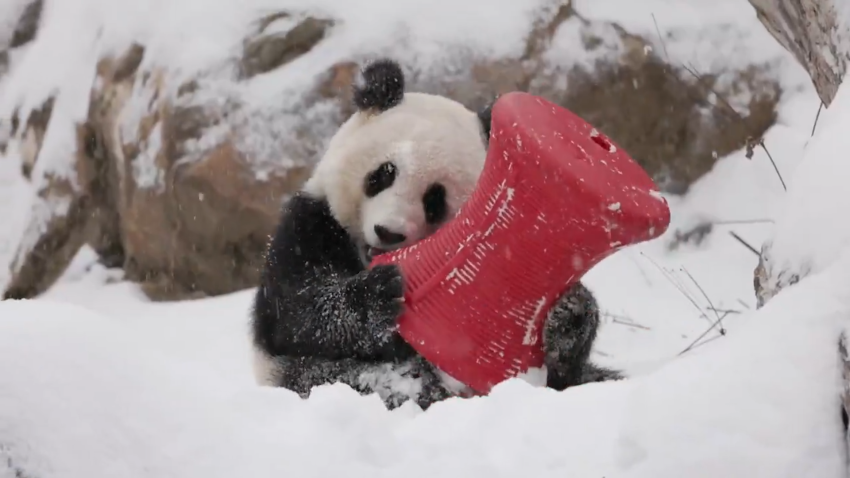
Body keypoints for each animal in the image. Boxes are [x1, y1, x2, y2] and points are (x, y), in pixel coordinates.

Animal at [248, 58, 620, 408]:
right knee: (348, 377)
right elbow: (296, 313)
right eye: (383, 173)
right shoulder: (309, 226)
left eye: (434, 200)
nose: (389, 233)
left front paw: (566, 312)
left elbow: (554, 367)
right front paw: (379, 295)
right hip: (301, 375)